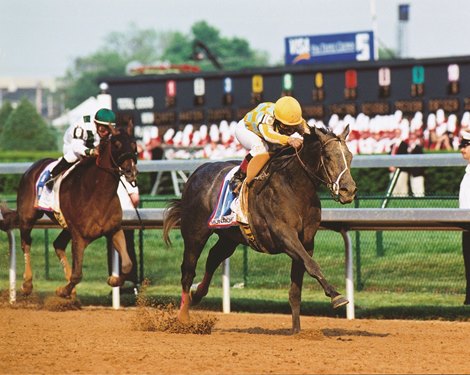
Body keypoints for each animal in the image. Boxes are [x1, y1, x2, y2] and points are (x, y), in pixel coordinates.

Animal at [0, 128, 138, 298]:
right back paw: (27, 284)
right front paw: (62, 290)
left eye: (134, 145)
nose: (130, 171)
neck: (97, 193)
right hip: (27, 217)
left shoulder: (114, 230)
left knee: (58, 244)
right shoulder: (79, 236)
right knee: (26, 243)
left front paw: (113, 280)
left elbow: (127, 265)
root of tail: (32, 168)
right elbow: (77, 274)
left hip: (65, 226)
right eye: (117, 144)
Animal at [163, 125, 358, 332]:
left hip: (229, 237)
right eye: (328, 156)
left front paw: (297, 331)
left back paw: (197, 294)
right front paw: (336, 296)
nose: (348, 190)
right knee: (188, 272)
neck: (295, 187)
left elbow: (297, 285)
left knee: (214, 258)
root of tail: (196, 172)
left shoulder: (306, 241)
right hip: (195, 233)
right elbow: (312, 266)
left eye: (350, 155)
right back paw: (183, 316)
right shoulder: (283, 235)